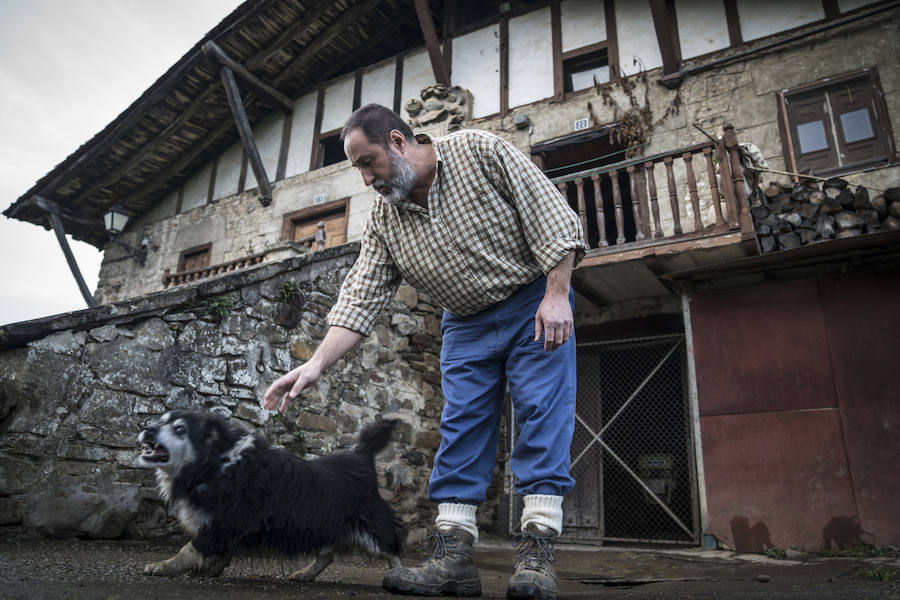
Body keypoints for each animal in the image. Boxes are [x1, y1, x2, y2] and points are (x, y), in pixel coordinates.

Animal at [135, 410, 406, 580]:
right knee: (327, 555)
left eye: (180, 428)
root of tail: (362, 455)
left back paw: (399, 574)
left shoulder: (224, 523)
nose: (146, 428)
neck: (216, 463)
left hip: (371, 526)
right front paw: (208, 570)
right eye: (160, 420)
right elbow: (219, 551)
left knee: (391, 549)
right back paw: (306, 574)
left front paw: (164, 566)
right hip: (322, 527)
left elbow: (189, 549)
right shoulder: (229, 527)